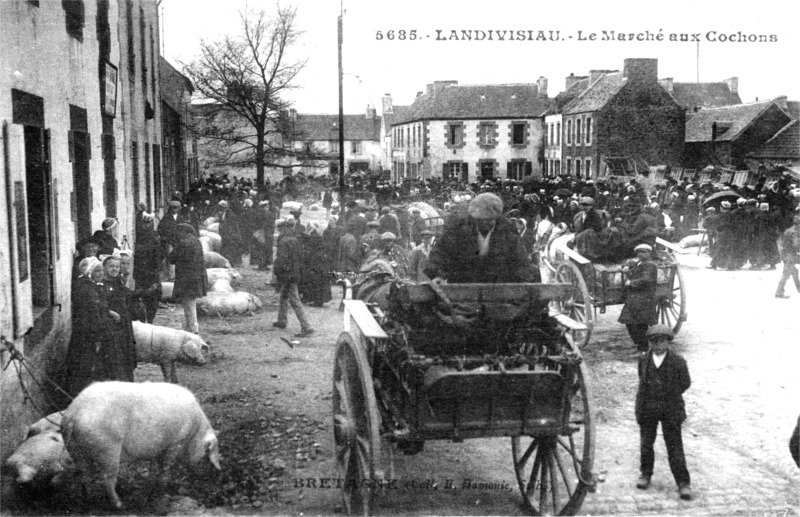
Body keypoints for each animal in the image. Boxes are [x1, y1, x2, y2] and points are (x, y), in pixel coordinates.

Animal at [61, 380, 222, 510]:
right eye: (207, 453)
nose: (212, 475)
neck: (195, 431)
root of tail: (73, 414)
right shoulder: (176, 442)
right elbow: (165, 468)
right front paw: (163, 492)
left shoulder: (157, 447)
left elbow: (155, 467)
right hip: (108, 448)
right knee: (106, 479)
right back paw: (120, 505)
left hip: (76, 450)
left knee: (84, 475)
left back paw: (87, 502)